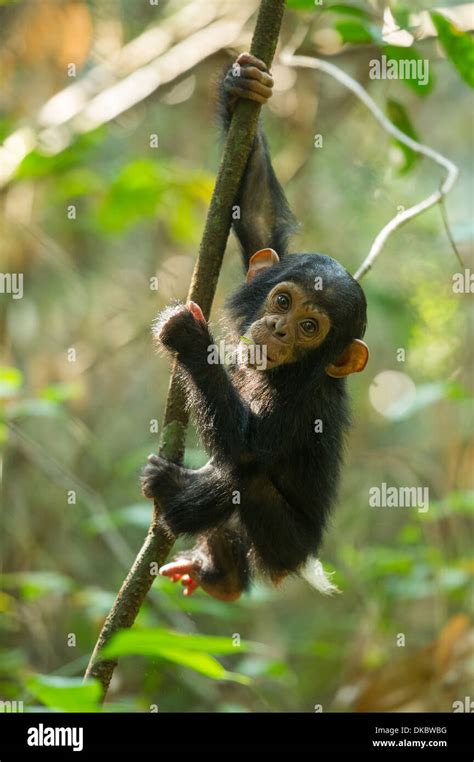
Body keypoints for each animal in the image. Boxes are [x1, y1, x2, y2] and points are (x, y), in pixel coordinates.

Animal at [140, 53, 366, 600]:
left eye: (310, 327)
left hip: (284, 543)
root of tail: (301, 566)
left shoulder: (300, 402)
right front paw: (244, 85)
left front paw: (189, 340)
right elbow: (260, 220)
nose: (280, 329)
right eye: (282, 300)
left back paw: (178, 500)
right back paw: (220, 568)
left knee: (246, 479)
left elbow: (247, 446)